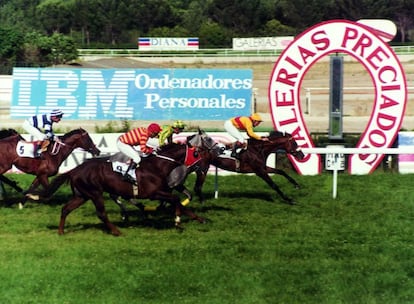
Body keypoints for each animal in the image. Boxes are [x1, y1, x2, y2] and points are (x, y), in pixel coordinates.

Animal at [38, 132, 218, 235]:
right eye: (197, 153)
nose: (204, 168)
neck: (158, 166)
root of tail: (74, 170)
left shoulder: (164, 191)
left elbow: (180, 203)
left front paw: (200, 219)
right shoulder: (154, 193)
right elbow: (175, 200)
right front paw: (178, 222)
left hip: (81, 195)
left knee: (65, 209)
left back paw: (61, 231)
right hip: (95, 193)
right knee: (101, 213)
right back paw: (116, 231)